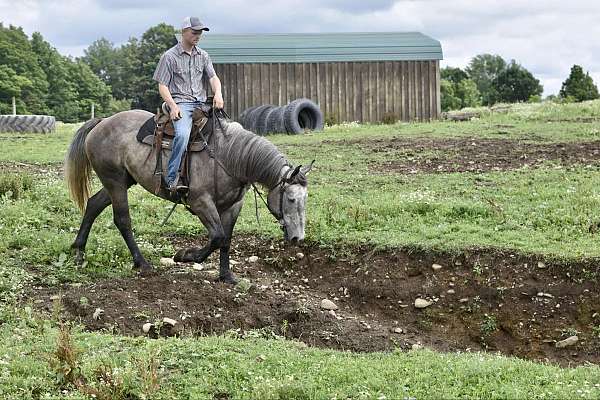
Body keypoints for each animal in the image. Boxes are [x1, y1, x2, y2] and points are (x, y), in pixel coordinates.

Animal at [64, 108, 314, 282]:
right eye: (291, 199)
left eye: (305, 200)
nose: (298, 238)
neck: (229, 156)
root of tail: (102, 122)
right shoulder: (201, 202)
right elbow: (217, 237)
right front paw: (185, 255)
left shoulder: (233, 206)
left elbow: (226, 240)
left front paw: (227, 276)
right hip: (114, 181)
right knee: (122, 219)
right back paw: (141, 263)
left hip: (122, 181)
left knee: (93, 204)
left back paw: (78, 251)